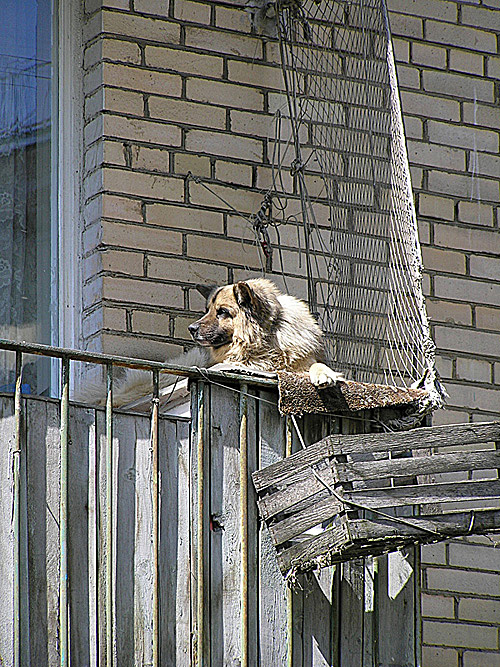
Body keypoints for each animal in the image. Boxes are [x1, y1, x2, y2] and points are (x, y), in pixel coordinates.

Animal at [84, 280, 344, 410]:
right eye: (208, 310)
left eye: (222, 312)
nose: (191, 328)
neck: (266, 339)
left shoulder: (302, 361)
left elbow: (316, 366)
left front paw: (325, 375)